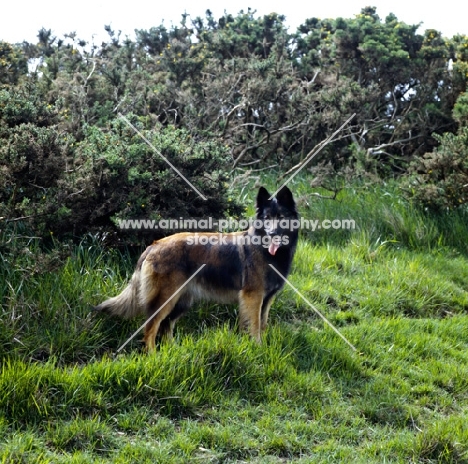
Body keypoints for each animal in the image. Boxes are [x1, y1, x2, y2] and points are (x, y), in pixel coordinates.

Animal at [95, 187, 298, 350]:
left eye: (281, 218)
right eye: (266, 218)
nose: (272, 233)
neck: (265, 250)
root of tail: (153, 246)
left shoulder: (266, 300)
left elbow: (262, 325)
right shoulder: (253, 298)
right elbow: (254, 326)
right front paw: (258, 348)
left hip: (181, 301)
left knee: (166, 327)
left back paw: (174, 352)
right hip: (166, 299)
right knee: (151, 328)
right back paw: (152, 356)